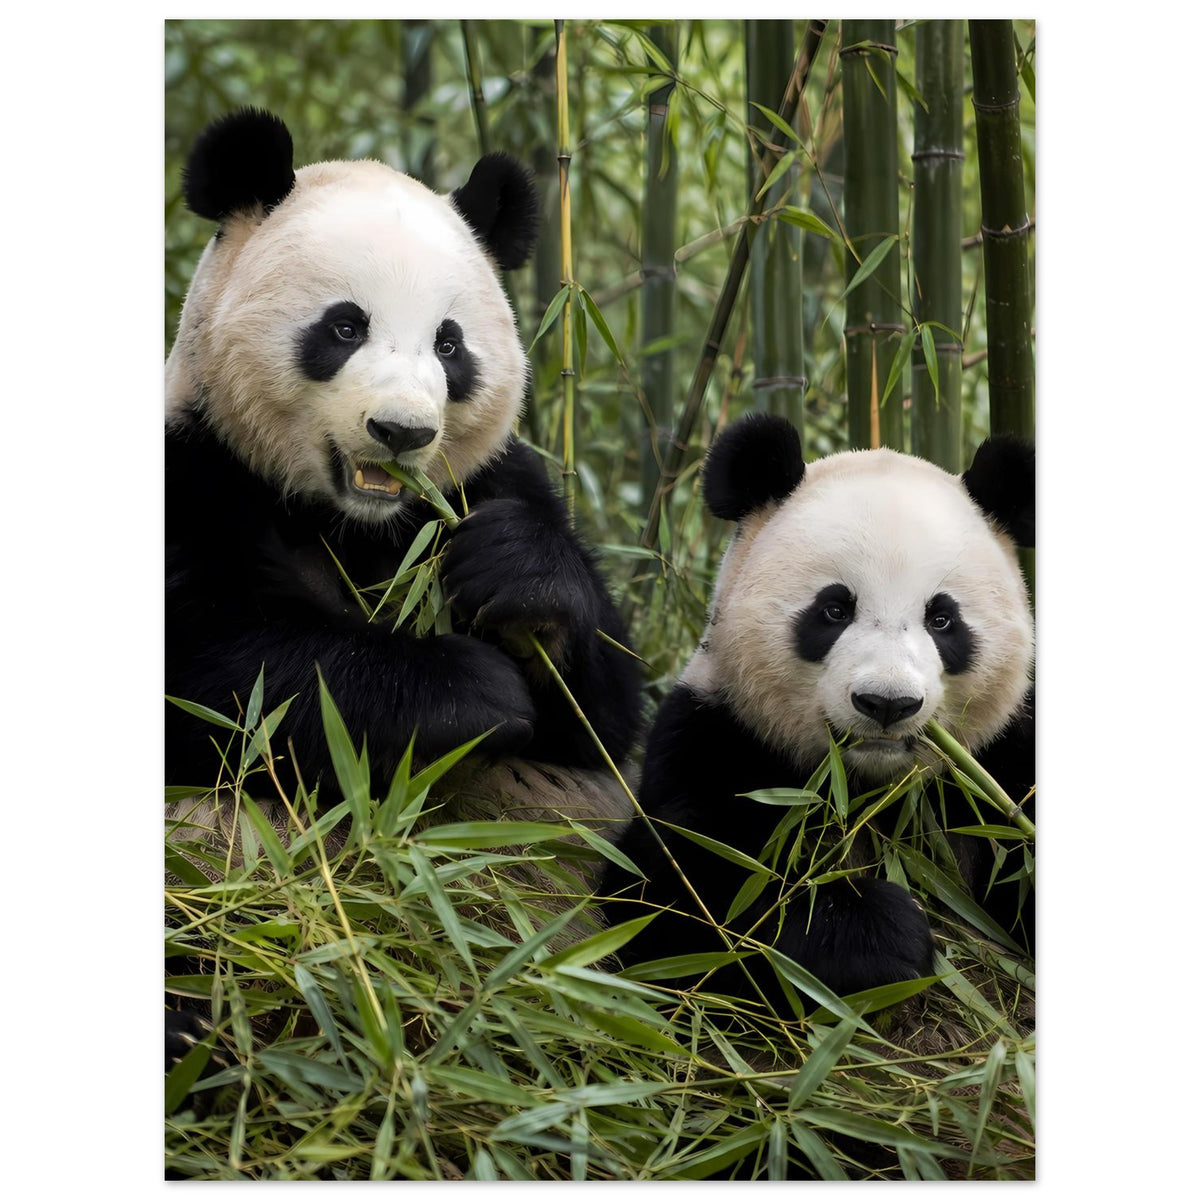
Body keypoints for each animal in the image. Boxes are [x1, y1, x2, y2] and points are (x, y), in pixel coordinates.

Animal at [165, 110, 641, 1060]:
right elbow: (224, 681)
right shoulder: (194, 472)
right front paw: (473, 690)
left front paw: (518, 580)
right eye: (345, 327)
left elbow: (603, 717)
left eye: (449, 344)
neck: (355, 522)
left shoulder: (486, 482)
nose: (402, 430)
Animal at [601, 412, 1033, 1012]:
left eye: (942, 619)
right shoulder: (718, 735)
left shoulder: (1003, 760)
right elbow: (683, 893)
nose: (887, 703)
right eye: (833, 609)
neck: (870, 791)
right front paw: (878, 934)